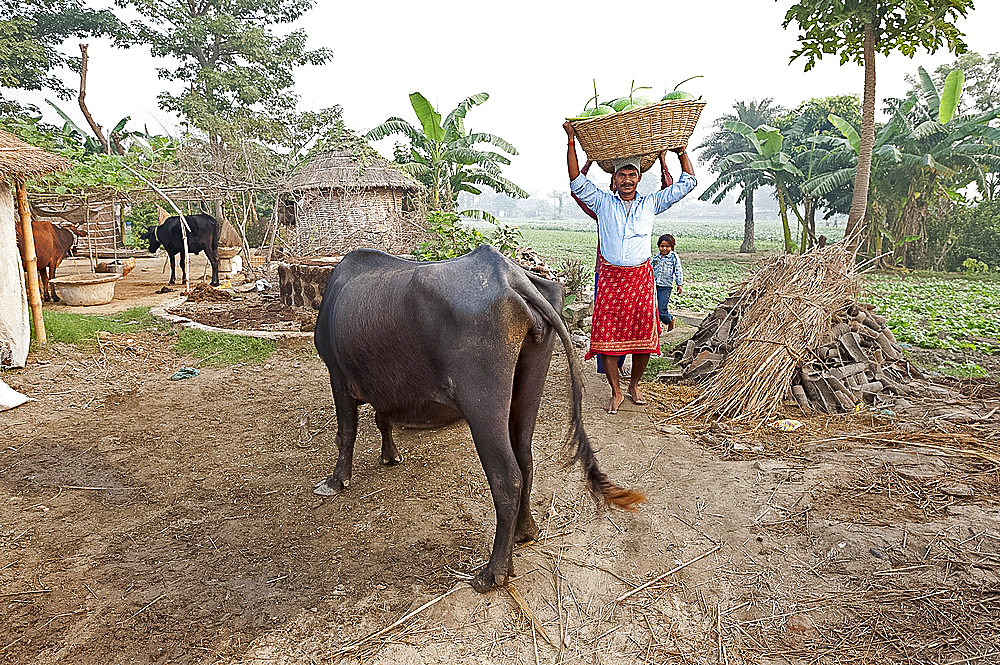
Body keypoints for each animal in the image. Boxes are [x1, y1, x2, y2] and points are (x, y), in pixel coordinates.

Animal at [312, 244, 644, 592]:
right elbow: (382, 418)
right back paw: (525, 532)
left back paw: (493, 571)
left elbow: (346, 432)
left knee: (507, 477)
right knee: (525, 460)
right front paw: (390, 455)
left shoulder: (338, 377)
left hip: (482, 404)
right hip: (529, 385)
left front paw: (336, 480)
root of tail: (511, 277)